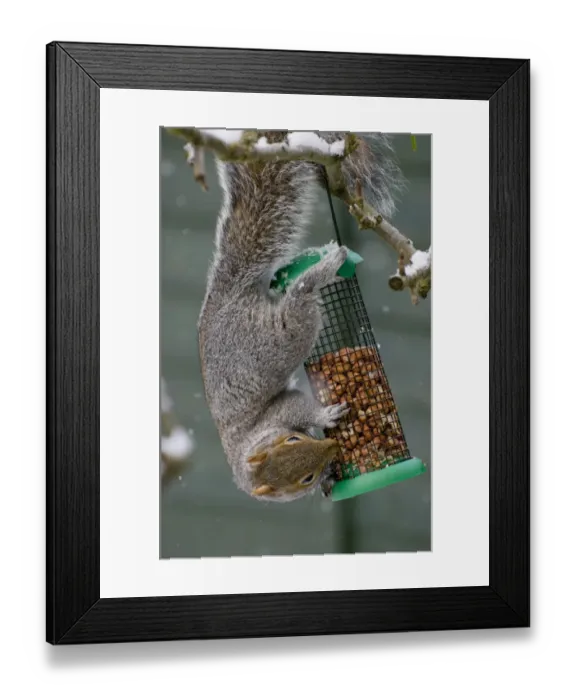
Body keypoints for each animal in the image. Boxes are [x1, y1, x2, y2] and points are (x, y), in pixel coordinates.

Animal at [197, 130, 404, 503]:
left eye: (293, 439)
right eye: (304, 479)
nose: (331, 452)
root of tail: (227, 295)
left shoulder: (282, 410)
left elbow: (298, 406)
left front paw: (325, 414)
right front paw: (328, 475)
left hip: (278, 336)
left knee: (300, 294)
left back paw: (327, 264)